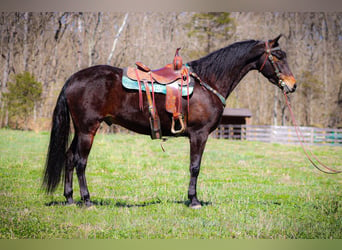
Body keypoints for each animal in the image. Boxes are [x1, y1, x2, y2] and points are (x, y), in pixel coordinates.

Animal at [42, 34, 296, 208]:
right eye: (277, 56)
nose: (292, 85)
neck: (208, 83)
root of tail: (73, 79)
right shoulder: (199, 134)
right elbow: (195, 167)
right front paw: (194, 200)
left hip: (81, 130)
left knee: (69, 158)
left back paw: (70, 199)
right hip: (88, 130)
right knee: (80, 162)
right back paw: (87, 201)